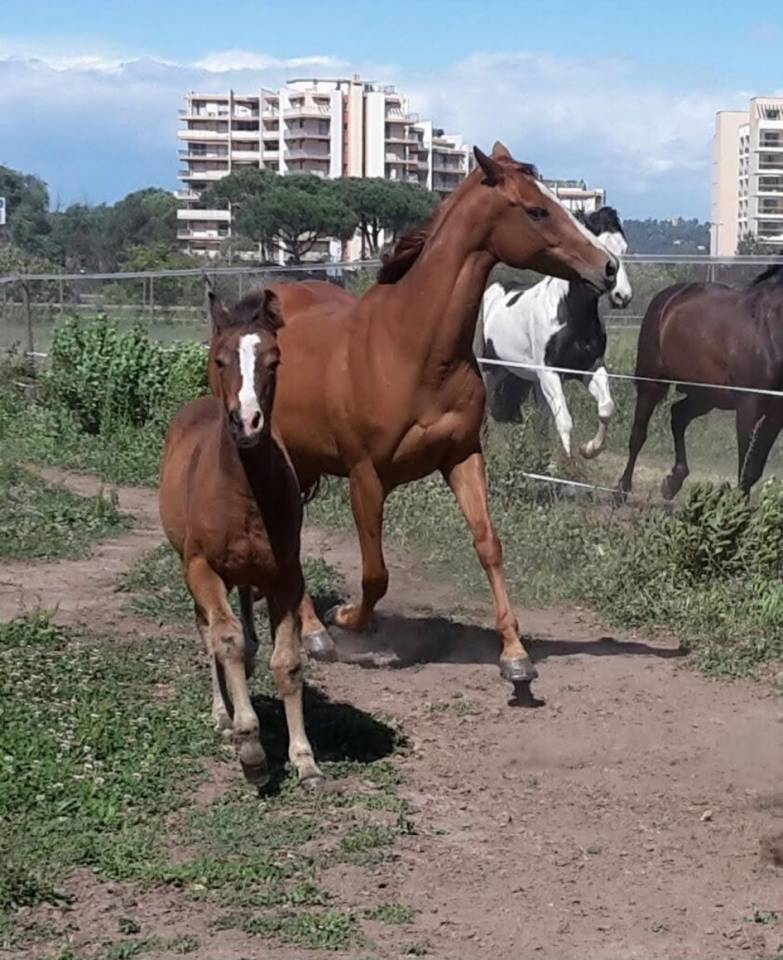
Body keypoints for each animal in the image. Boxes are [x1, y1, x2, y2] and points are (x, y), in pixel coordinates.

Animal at [159, 287, 323, 789]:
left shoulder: (286, 575)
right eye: (219, 359)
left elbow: (286, 661)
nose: (247, 421)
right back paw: (223, 714)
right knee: (209, 632)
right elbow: (224, 641)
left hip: (251, 574)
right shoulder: (200, 569)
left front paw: (304, 759)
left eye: (274, 360)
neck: (244, 491)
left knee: (246, 624)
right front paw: (249, 747)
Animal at [479, 206, 632, 459]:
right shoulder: (551, 372)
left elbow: (606, 408)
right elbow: (565, 421)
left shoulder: (590, 368)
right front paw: (566, 462)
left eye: (624, 249)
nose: (622, 296)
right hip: (489, 368)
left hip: (518, 375)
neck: (570, 313)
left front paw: (589, 449)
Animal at [617, 263, 783, 500]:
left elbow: (753, 469)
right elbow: (746, 468)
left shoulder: (776, 413)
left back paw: (673, 482)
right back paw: (621, 490)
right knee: (638, 434)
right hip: (652, 382)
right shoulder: (748, 407)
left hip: (706, 397)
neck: (770, 326)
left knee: (678, 415)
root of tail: (669, 297)